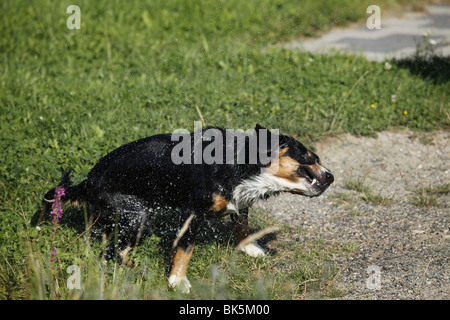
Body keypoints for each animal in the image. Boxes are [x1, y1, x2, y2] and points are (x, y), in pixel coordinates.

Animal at [41, 124, 334, 292]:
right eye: (310, 157)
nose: (331, 177)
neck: (238, 164)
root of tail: (87, 181)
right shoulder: (192, 213)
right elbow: (185, 249)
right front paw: (177, 280)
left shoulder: (239, 203)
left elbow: (242, 226)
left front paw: (251, 248)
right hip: (139, 215)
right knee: (111, 251)